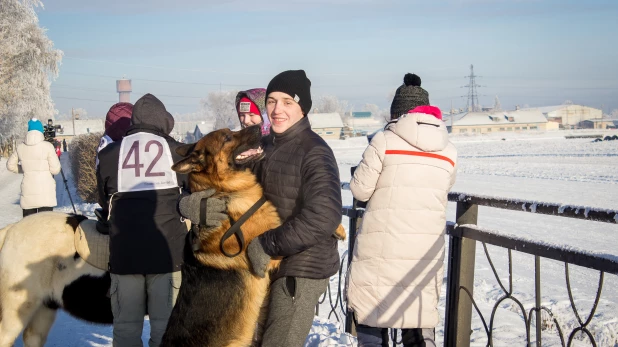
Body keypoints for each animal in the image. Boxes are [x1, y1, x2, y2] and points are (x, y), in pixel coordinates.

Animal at [159, 125, 344, 347]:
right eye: (227, 137)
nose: (258, 127)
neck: (224, 192)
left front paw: (339, 229)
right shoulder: (270, 255)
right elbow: (289, 229)